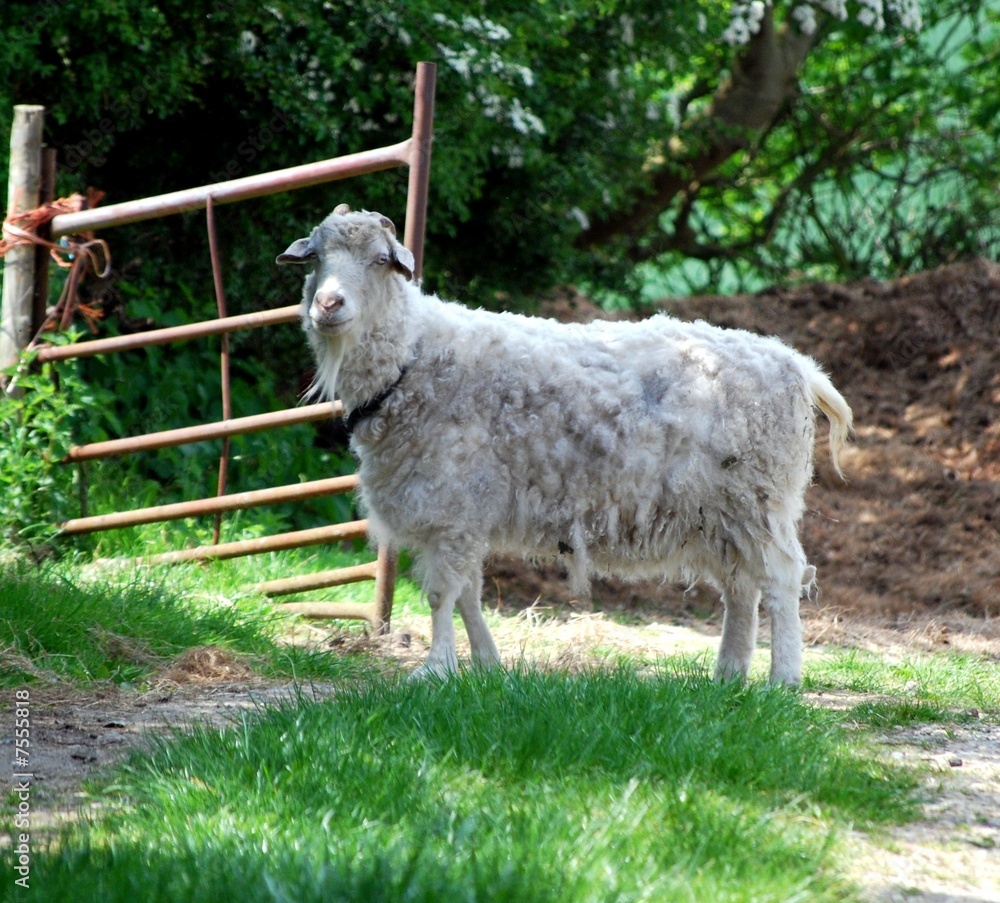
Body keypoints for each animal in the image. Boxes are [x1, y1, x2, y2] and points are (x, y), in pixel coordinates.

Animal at [277, 205, 853, 684]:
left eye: (380, 260)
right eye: (317, 258)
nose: (328, 304)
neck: (412, 355)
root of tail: (797, 366)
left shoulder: (453, 504)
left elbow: (442, 595)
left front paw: (435, 671)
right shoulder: (460, 510)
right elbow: (468, 596)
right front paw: (487, 665)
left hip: (760, 499)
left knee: (780, 581)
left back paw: (783, 680)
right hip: (723, 511)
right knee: (741, 588)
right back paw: (729, 676)